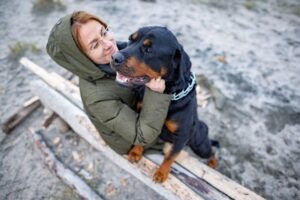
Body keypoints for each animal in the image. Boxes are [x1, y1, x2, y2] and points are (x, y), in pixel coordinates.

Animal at [110, 26, 218, 183]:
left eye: (149, 49)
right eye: (131, 39)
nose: (114, 57)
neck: (168, 96)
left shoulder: (181, 136)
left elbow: (170, 156)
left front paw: (161, 173)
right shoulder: (143, 120)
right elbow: (142, 138)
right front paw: (136, 152)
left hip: (199, 145)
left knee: (211, 151)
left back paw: (213, 162)